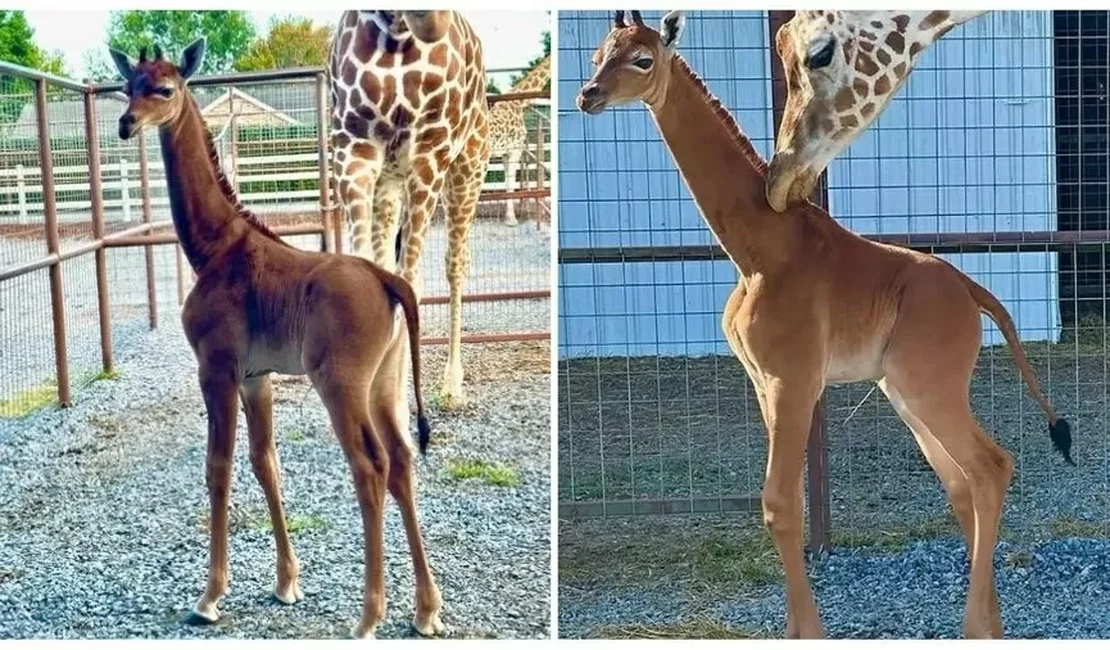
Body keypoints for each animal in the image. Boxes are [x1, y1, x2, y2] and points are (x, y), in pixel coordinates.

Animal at [110, 40, 444, 638]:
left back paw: (369, 617)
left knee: (371, 466)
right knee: (403, 460)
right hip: (384, 383)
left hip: (341, 384)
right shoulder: (255, 377)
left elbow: (218, 467)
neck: (213, 248)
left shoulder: (216, 369)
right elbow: (266, 462)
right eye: (129, 86)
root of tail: (389, 281)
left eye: (165, 88)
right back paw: (426, 610)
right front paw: (287, 582)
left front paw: (209, 597)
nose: (127, 123)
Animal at [324, 10, 490, 403]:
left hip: (468, 168)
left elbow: (411, 281)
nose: (433, 19)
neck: (397, 34)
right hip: (389, 182)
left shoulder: (430, 152)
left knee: (455, 264)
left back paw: (452, 385)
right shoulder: (353, 149)